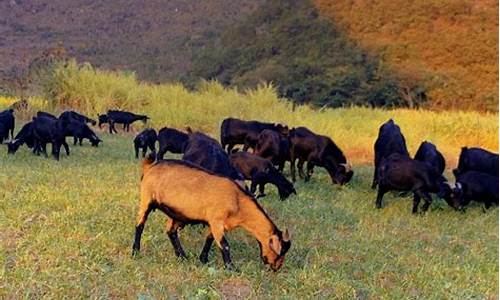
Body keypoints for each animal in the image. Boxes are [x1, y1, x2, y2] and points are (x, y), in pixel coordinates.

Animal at [131, 156, 292, 270]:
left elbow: (210, 240)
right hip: (146, 199)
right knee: (140, 225)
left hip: (177, 213)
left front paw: (203, 259)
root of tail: (150, 166)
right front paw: (231, 268)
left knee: (171, 231)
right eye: (280, 252)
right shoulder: (216, 220)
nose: (276, 268)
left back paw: (182, 256)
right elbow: (225, 245)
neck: (237, 200)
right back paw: (135, 252)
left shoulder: (215, 223)